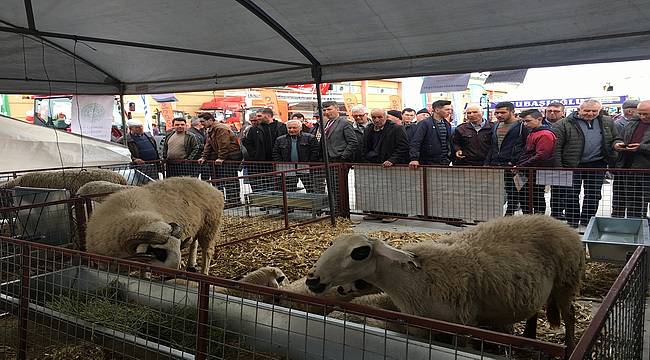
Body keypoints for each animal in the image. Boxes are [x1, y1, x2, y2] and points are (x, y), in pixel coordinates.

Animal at [86, 176, 223, 274]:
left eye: (178, 248)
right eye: (158, 252)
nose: (172, 274)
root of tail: (211, 187)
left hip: (210, 227)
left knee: (207, 251)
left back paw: (204, 273)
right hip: (198, 226)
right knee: (193, 243)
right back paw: (191, 265)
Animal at [306, 214, 584, 348]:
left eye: (360, 252)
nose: (312, 280)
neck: (413, 281)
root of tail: (555, 221)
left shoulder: (463, 324)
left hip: (566, 282)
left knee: (569, 315)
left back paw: (570, 345)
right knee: (534, 311)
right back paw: (529, 338)